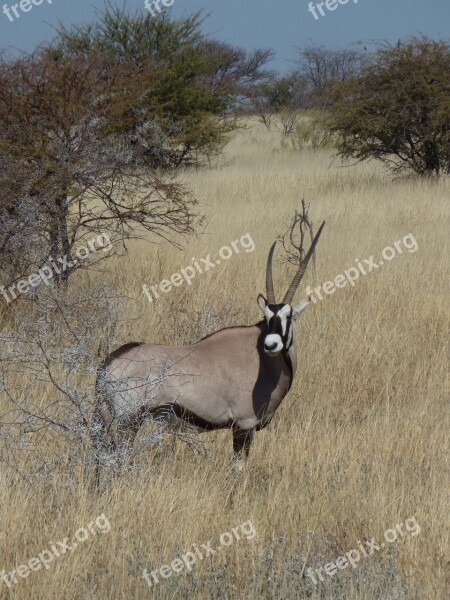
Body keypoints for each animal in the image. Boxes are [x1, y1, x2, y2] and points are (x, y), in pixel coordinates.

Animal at [92, 221, 324, 478]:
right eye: (267, 317)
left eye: (288, 316)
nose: (270, 344)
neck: (263, 363)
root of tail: (110, 362)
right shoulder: (243, 426)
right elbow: (238, 469)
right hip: (127, 421)